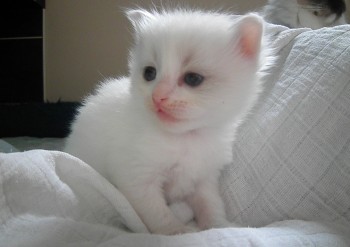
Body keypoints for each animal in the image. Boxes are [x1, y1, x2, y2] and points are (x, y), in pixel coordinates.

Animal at [65, 8, 268, 234]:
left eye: (193, 79)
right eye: (149, 73)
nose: (157, 97)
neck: (186, 138)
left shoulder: (204, 178)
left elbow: (211, 204)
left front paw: (220, 226)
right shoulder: (137, 178)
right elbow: (158, 214)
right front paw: (178, 231)